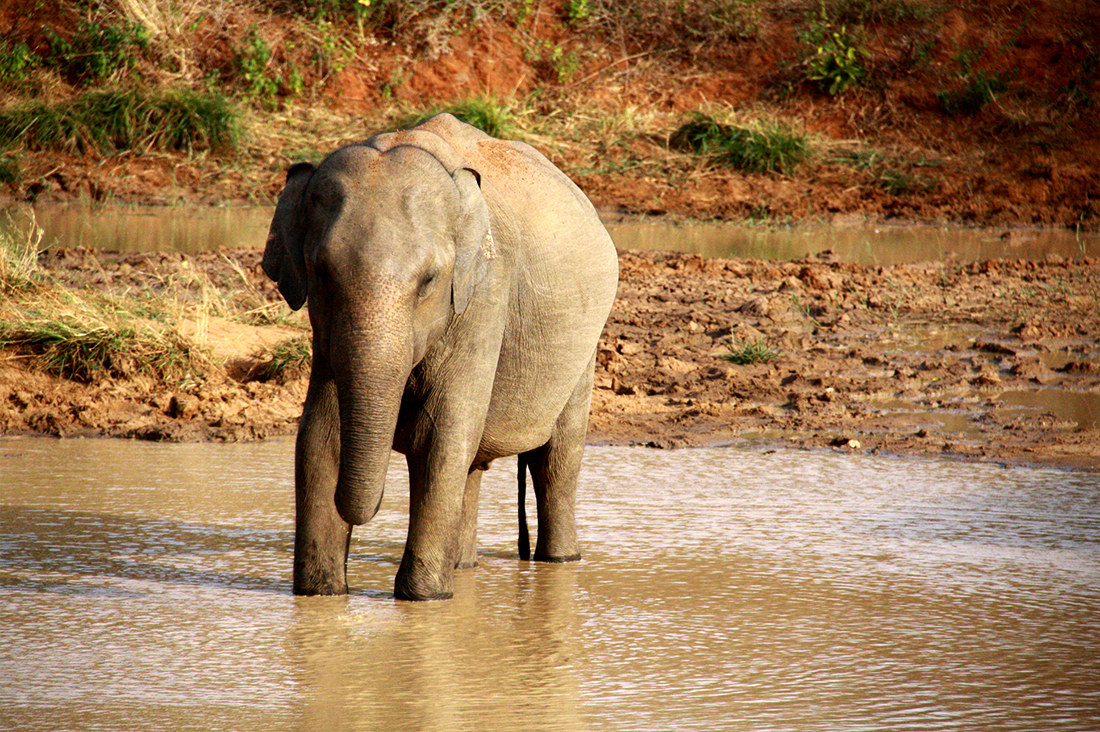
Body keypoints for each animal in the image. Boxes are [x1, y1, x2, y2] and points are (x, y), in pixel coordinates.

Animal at [259, 110, 620, 598]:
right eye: (322, 275)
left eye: (429, 280)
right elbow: (320, 435)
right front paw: (321, 594)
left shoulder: (485, 294)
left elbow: (441, 435)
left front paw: (424, 599)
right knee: (474, 469)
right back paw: (463, 568)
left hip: (584, 345)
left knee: (556, 459)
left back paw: (558, 560)